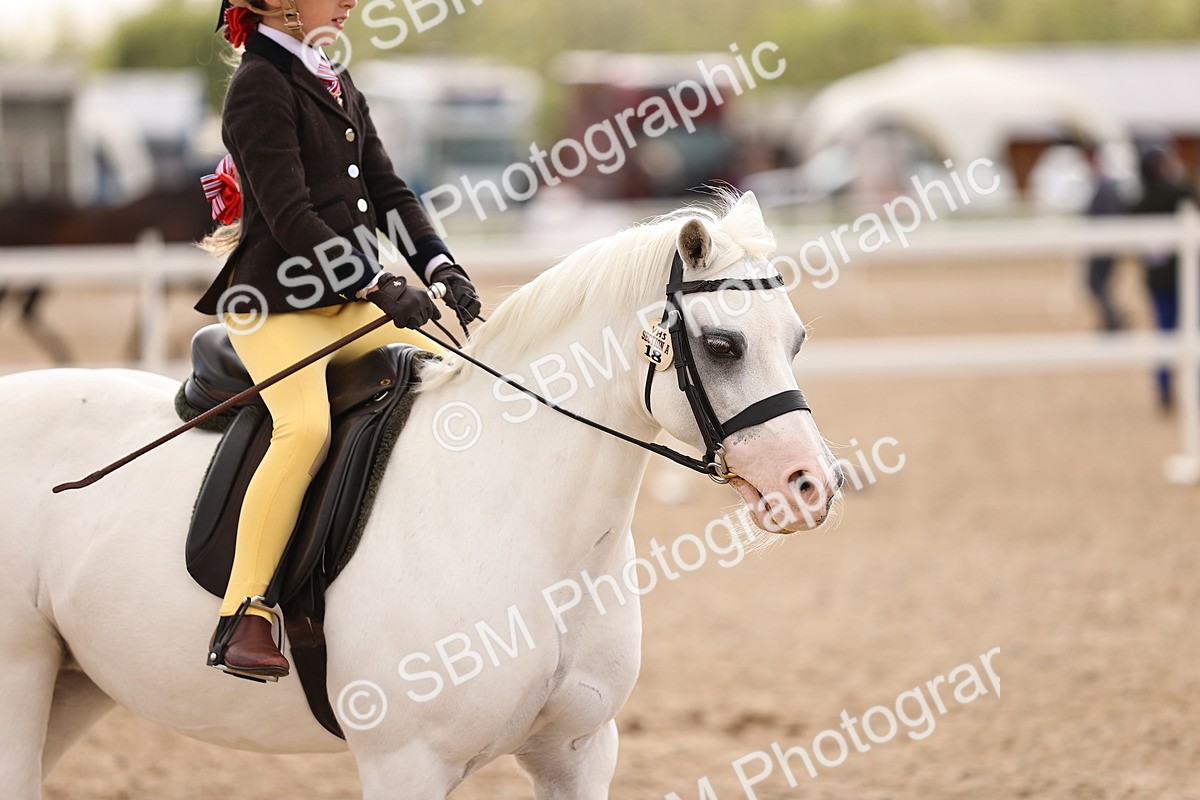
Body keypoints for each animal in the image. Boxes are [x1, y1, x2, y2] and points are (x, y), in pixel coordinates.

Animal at [0, 191, 841, 799]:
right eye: (723, 346)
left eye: (798, 339)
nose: (812, 485)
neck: (522, 521)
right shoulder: (407, 763)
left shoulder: (577, 752)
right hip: (20, 678)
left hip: (71, 684)